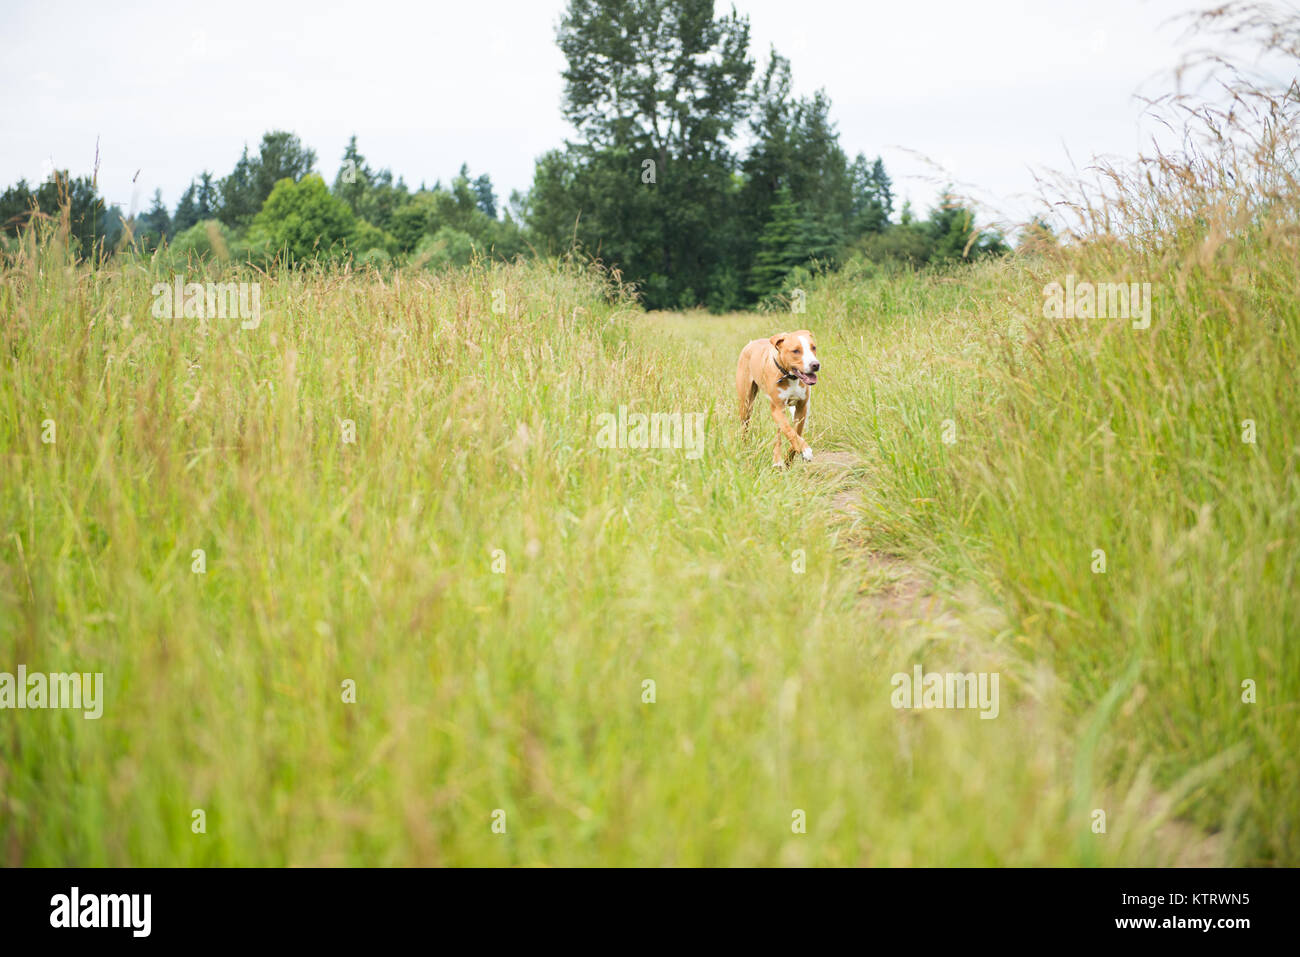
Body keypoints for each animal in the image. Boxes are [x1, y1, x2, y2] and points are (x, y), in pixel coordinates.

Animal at [738, 328, 816, 468]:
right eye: (796, 351)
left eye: (813, 348)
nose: (815, 364)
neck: (790, 377)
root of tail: (751, 343)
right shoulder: (778, 408)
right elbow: (790, 431)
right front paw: (805, 450)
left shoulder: (802, 408)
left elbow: (796, 432)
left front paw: (789, 459)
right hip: (746, 405)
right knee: (745, 428)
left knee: (779, 432)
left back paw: (778, 460)